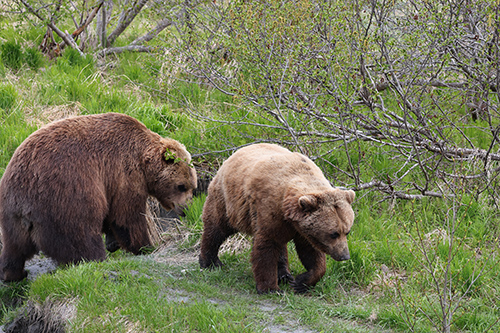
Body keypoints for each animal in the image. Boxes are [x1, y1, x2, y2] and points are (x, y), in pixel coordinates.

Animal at [0, 111, 197, 280]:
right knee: (81, 235)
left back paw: (12, 274)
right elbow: (127, 216)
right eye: (181, 186)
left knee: (13, 247)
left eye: (193, 187)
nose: (186, 209)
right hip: (65, 196)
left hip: (11, 214)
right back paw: (96, 259)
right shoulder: (124, 172)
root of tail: (24, 204)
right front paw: (145, 246)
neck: (143, 161)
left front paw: (113, 242)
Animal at [199, 143, 356, 294]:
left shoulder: (303, 228)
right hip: (227, 201)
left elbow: (311, 252)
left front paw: (301, 282)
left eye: (347, 231)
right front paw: (270, 288)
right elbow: (267, 246)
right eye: (334, 233)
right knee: (216, 228)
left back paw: (284, 275)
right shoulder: (270, 209)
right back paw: (210, 262)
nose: (345, 256)